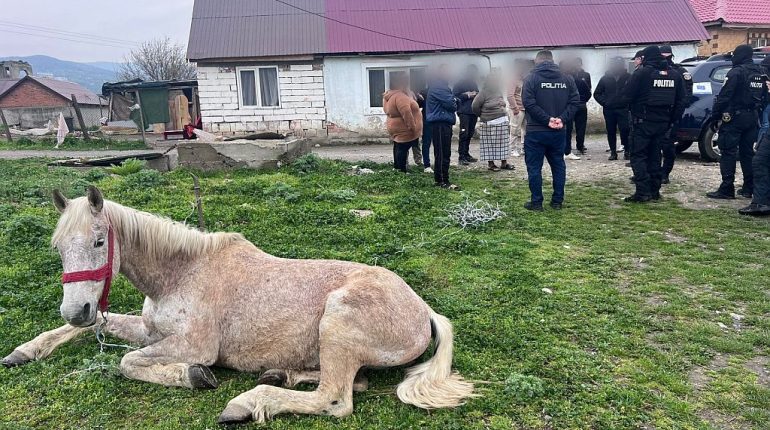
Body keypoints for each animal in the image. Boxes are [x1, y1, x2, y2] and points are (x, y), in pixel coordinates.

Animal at [2, 186, 475, 424]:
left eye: (100, 241)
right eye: (59, 247)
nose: (76, 309)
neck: (181, 273)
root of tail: (424, 311)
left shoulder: (195, 345)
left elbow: (128, 362)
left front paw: (193, 376)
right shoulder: (149, 329)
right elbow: (106, 332)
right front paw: (24, 351)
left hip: (337, 325)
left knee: (335, 399)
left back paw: (247, 403)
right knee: (349, 383)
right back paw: (280, 373)